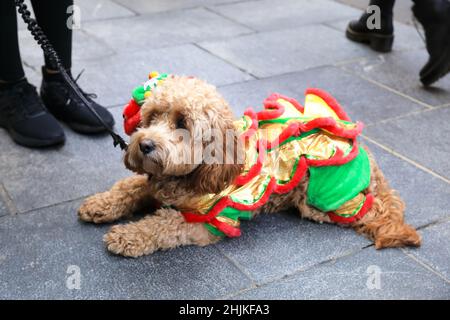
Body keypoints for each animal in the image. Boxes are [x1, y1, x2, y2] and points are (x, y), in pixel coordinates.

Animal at [78, 75, 422, 258]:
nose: (145, 145)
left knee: (373, 210)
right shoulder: (156, 182)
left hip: (321, 198)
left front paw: (126, 236)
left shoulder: (207, 221)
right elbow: (129, 187)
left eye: (182, 123)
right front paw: (99, 204)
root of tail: (365, 153)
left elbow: (162, 225)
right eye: (151, 117)